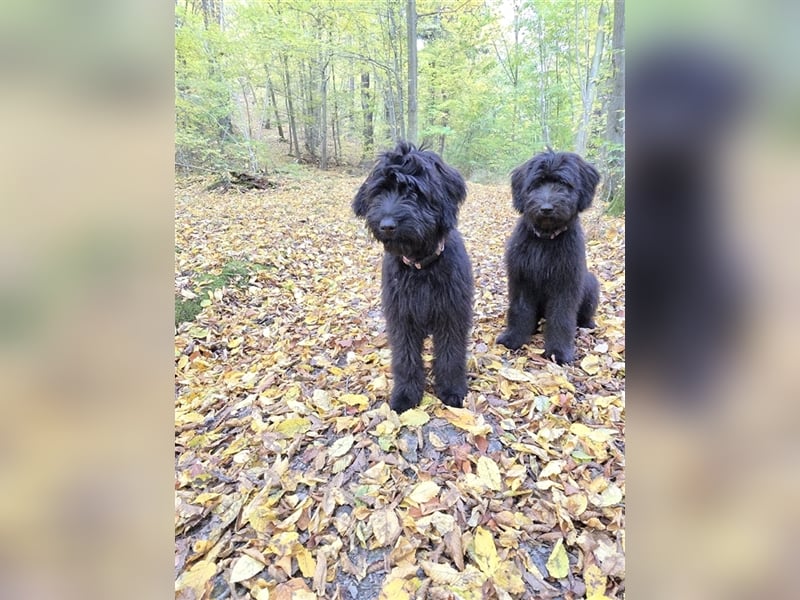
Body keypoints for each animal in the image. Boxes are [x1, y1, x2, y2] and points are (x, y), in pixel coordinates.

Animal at [352, 141, 476, 412]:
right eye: (380, 191)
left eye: (414, 191)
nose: (387, 225)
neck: (421, 268)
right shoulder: (402, 317)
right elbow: (405, 357)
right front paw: (406, 395)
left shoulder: (451, 314)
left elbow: (451, 354)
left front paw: (452, 389)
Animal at [494, 150, 600, 366]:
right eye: (537, 183)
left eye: (563, 183)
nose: (546, 208)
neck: (545, 240)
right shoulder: (521, 280)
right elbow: (519, 309)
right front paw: (513, 338)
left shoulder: (566, 285)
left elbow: (562, 318)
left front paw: (558, 352)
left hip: (591, 283)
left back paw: (587, 323)